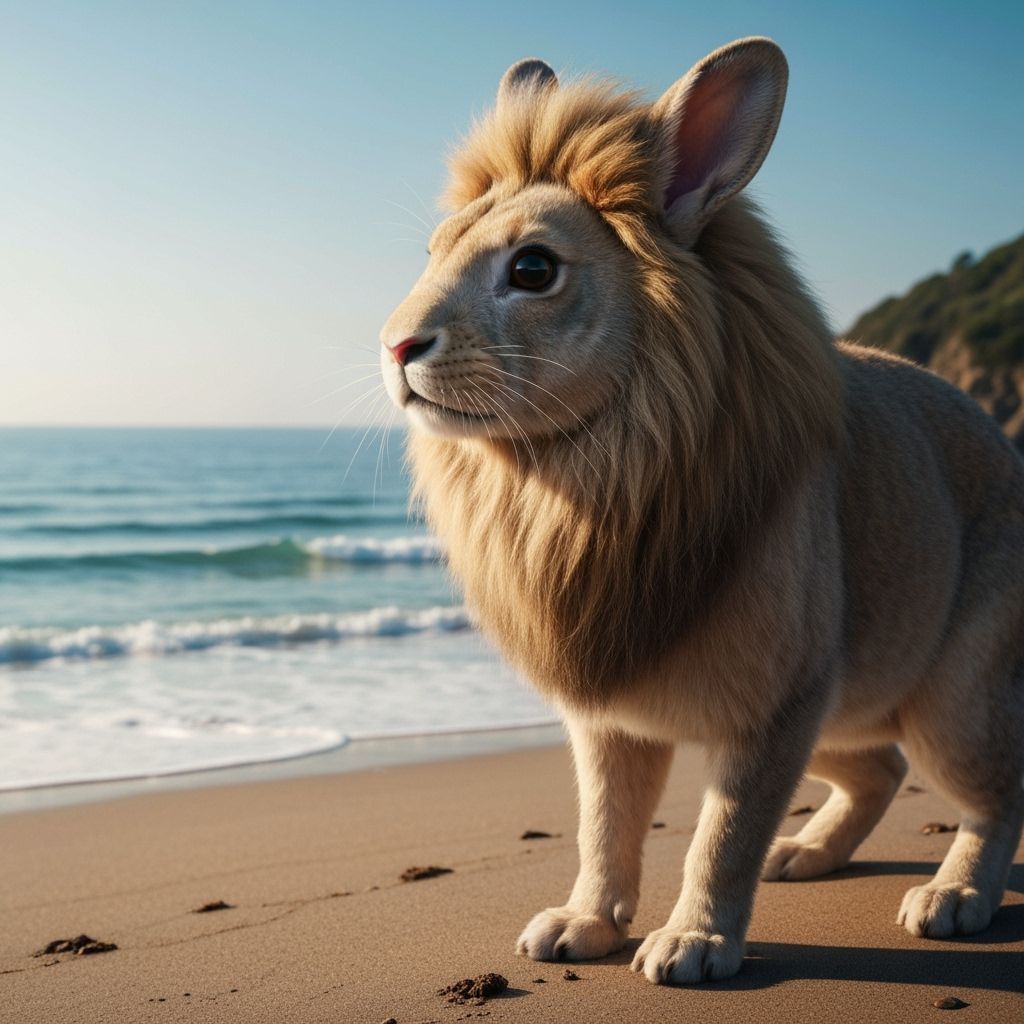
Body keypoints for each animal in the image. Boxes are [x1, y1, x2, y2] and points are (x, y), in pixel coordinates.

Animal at [379, 37, 1024, 984]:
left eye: (532, 270)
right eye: (431, 250)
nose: (396, 346)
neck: (587, 474)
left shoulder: (773, 707)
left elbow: (722, 836)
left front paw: (694, 944)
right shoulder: (611, 719)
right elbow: (604, 828)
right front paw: (583, 926)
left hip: (948, 704)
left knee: (997, 793)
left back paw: (956, 896)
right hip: (845, 714)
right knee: (880, 768)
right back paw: (808, 854)